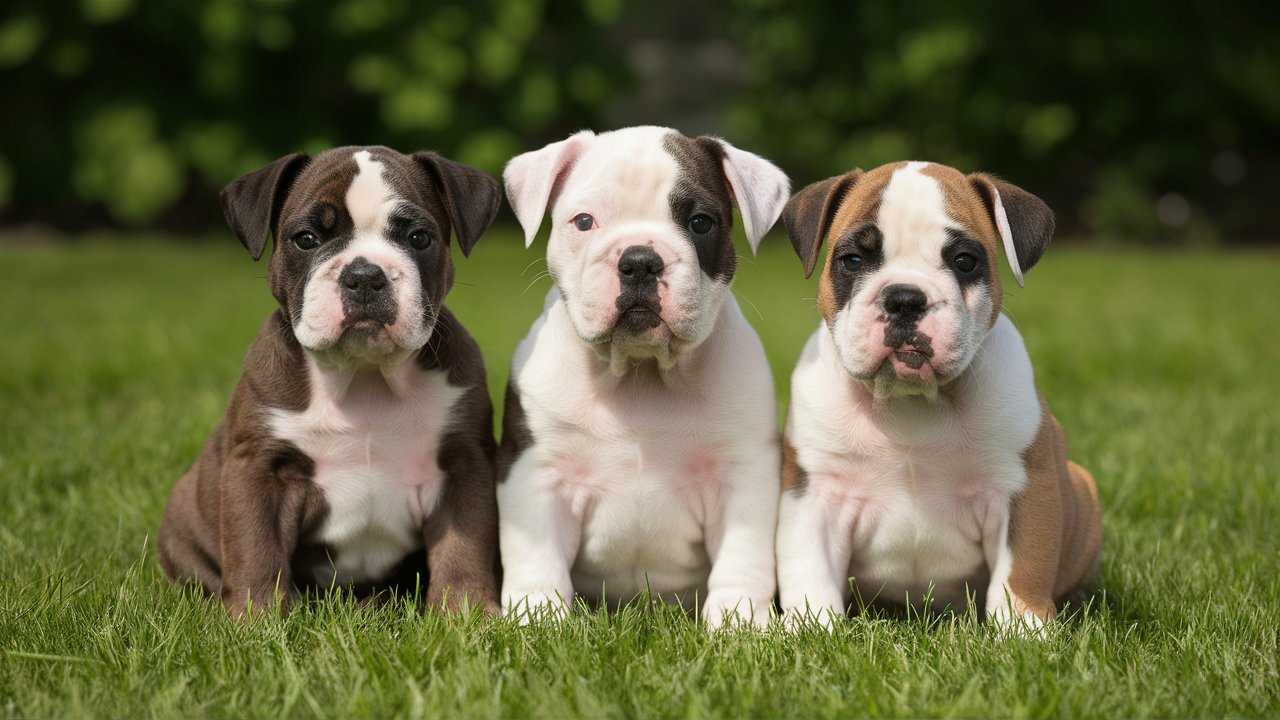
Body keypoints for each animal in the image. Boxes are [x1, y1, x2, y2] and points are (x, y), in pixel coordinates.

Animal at [156, 147, 499, 617]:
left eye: (418, 238)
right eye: (306, 239)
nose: (364, 275)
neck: (364, 375)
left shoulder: (464, 464)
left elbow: (464, 548)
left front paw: (468, 615)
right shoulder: (259, 470)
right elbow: (256, 551)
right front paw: (256, 620)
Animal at [496, 126, 788, 625]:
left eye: (700, 223)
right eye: (584, 221)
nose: (639, 260)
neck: (640, 374)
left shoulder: (742, 477)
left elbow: (742, 557)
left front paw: (740, 622)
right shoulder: (537, 473)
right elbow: (537, 558)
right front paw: (537, 620)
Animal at [773, 161, 1105, 627]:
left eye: (965, 261)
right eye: (852, 260)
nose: (904, 298)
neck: (913, 401)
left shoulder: (1023, 490)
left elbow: (1021, 571)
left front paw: (1023, 632)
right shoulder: (815, 492)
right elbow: (810, 569)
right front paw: (812, 628)